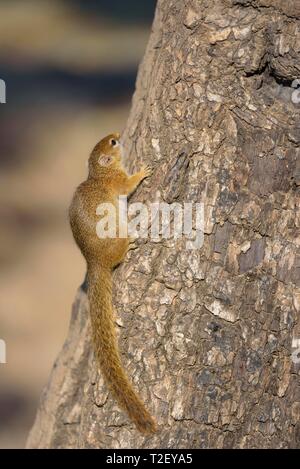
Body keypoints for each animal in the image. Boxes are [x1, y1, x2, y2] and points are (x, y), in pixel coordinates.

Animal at [69, 132, 156, 432]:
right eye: (113, 145)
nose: (117, 135)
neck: (99, 172)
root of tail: (95, 263)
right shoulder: (117, 182)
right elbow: (128, 185)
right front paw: (143, 171)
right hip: (117, 240)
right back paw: (130, 245)